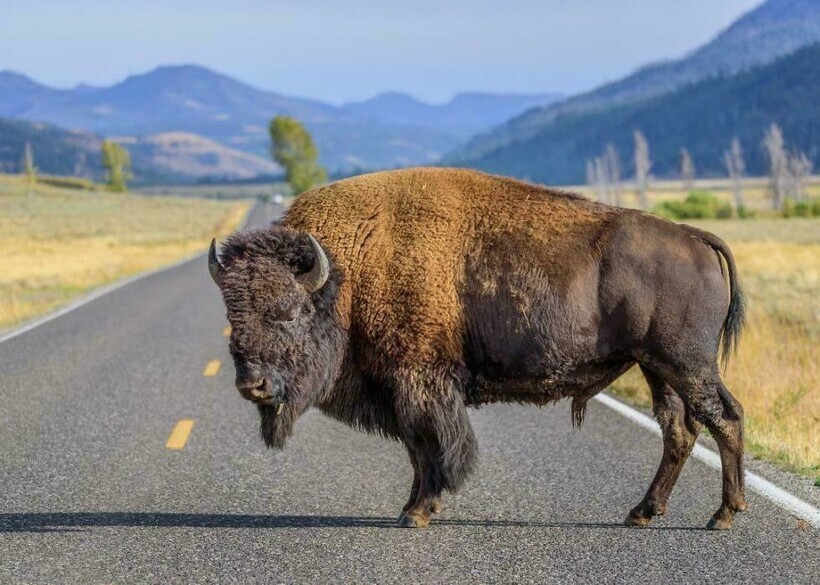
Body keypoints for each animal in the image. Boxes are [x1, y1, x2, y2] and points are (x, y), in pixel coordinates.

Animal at [208, 168, 748, 528]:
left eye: (289, 311)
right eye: (233, 316)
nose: (252, 384)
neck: (350, 268)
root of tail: (694, 236)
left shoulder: (420, 382)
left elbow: (433, 445)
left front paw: (418, 512)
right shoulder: (404, 389)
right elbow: (417, 449)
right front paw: (411, 507)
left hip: (686, 364)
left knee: (724, 418)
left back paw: (723, 515)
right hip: (658, 368)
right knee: (680, 430)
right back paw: (643, 512)